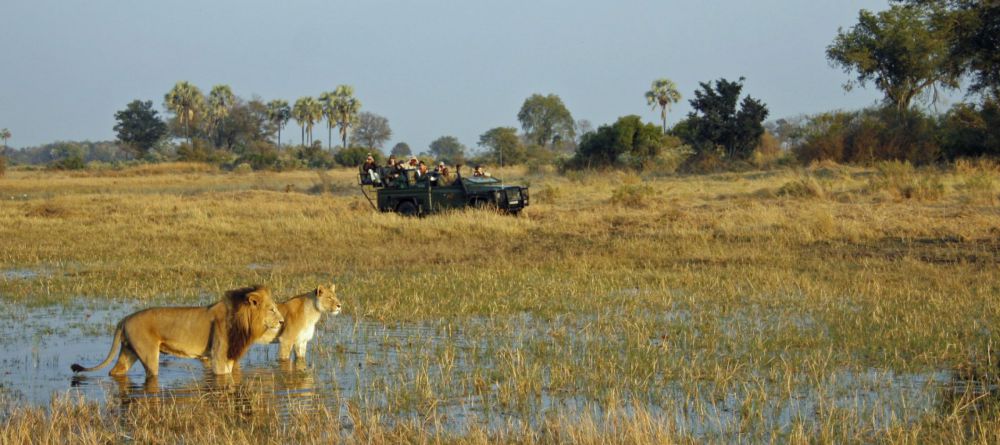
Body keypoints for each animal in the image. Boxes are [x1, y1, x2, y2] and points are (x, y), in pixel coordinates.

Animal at [71, 284, 284, 374]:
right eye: (272, 309)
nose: (282, 322)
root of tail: (124, 319)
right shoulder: (218, 356)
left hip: (129, 351)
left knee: (115, 372)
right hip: (148, 354)